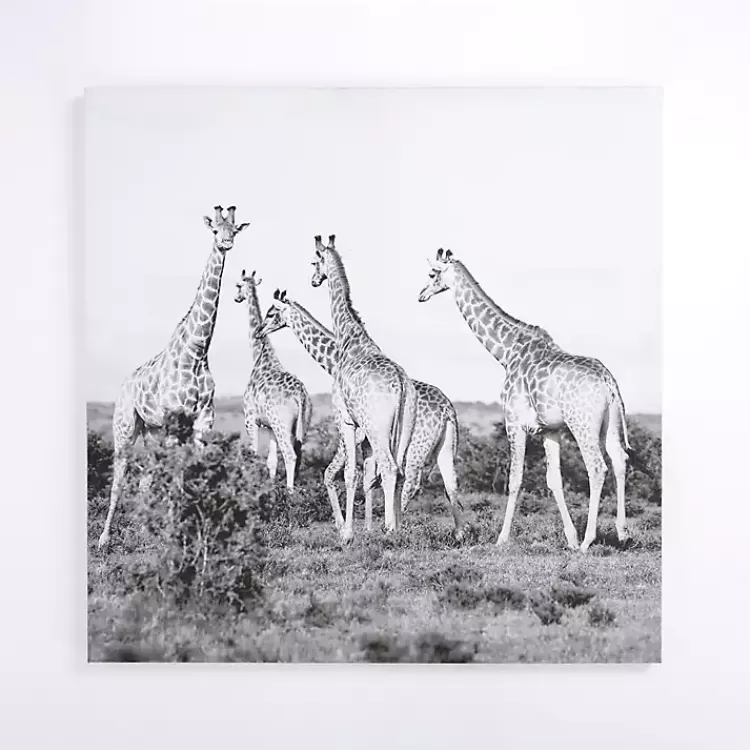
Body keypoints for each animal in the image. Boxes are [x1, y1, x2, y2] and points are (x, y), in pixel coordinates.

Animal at [98, 206, 250, 549]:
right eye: (215, 230)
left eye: (234, 229)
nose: (226, 243)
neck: (197, 353)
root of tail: (124, 383)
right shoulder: (173, 420)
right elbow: (177, 474)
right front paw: (175, 533)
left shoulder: (203, 421)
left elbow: (196, 471)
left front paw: (195, 530)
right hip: (126, 426)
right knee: (120, 475)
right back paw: (104, 538)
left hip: (152, 431)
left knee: (145, 477)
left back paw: (146, 532)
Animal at [234, 270, 312, 488]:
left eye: (237, 285)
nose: (236, 298)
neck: (259, 356)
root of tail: (301, 396)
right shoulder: (268, 426)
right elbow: (271, 462)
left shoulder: (250, 418)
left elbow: (253, 454)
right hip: (300, 425)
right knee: (298, 454)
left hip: (281, 423)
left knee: (291, 455)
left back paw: (290, 492)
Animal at [257, 289, 464, 538]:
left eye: (271, 313)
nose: (259, 331)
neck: (336, 360)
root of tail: (447, 410)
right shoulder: (367, 441)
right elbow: (368, 478)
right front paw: (366, 526)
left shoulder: (355, 432)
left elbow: (334, 473)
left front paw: (346, 526)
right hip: (442, 446)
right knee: (448, 483)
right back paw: (456, 532)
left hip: (416, 448)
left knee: (409, 480)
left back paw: (395, 527)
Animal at [310, 235, 418, 543]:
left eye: (313, 262)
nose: (313, 280)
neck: (349, 338)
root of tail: (401, 383)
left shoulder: (345, 418)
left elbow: (350, 473)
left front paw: (347, 533)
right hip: (404, 426)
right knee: (400, 470)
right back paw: (395, 528)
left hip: (377, 426)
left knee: (390, 467)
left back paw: (390, 530)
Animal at [417, 248, 630, 553]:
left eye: (432, 273)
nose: (421, 294)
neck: (507, 352)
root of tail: (609, 383)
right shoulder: (550, 429)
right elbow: (554, 480)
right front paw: (570, 537)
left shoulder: (514, 422)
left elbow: (515, 479)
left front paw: (502, 538)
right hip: (609, 423)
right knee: (620, 460)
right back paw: (622, 533)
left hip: (582, 424)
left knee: (597, 467)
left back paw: (589, 540)